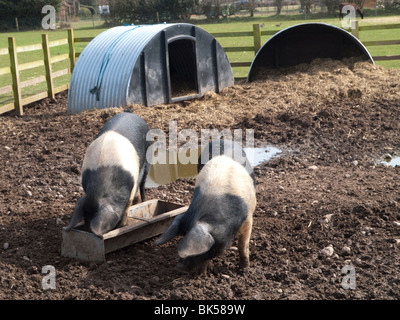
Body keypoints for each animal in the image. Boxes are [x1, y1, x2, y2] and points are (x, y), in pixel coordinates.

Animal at [155, 139, 258, 274]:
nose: (179, 268)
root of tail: (222, 139)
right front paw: (202, 273)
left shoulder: (248, 218)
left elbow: (243, 245)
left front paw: (244, 269)